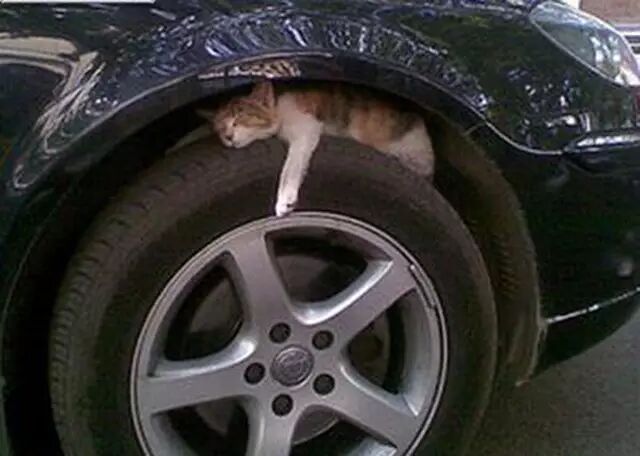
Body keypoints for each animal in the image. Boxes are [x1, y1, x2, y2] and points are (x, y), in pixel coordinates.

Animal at [198, 81, 434, 216]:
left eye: (239, 119)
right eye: (220, 128)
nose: (228, 137)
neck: (278, 107)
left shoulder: (306, 129)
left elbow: (291, 166)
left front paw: (284, 199)